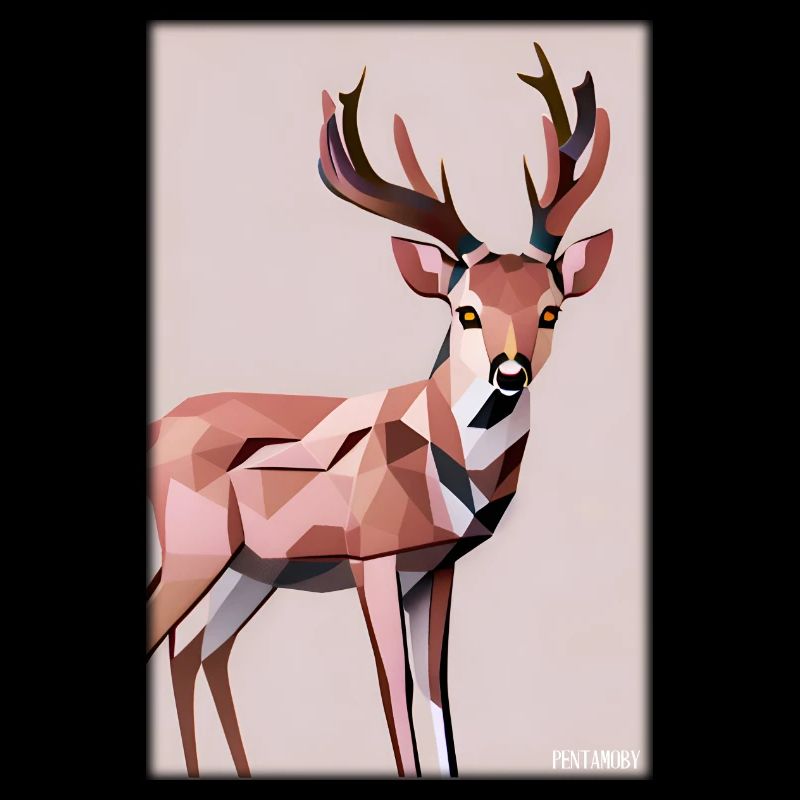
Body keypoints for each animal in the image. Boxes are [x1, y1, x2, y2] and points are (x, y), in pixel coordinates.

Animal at [146, 42, 613, 778]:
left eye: (551, 310)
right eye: (465, 310)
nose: (511, 373)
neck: (439, 467)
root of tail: (156, 425)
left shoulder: (437, 568)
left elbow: (438, 694)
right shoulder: (373, 555)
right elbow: (394, 692)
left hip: (252, 569)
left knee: (198, 651)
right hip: (196, 547)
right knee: (172, 640)